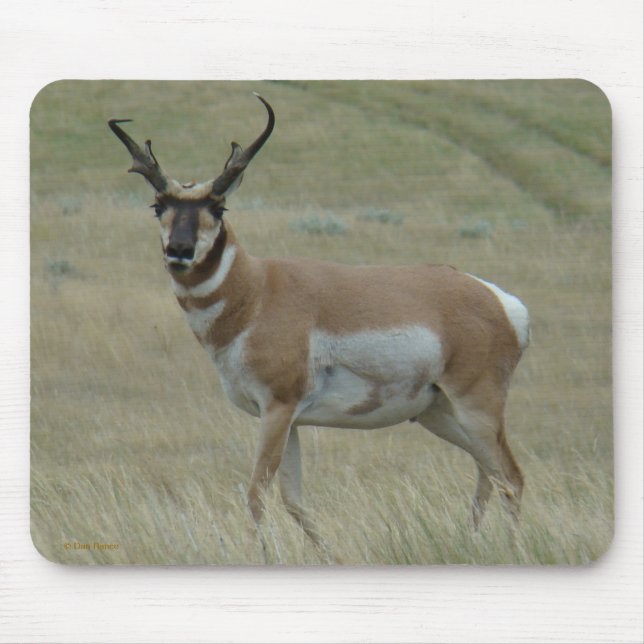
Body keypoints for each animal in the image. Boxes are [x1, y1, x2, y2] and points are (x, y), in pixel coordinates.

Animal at [108, 93, 529, 558]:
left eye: (218, 207)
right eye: (158, 206)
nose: (180, 250)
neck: (257, 290)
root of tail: (499, 300)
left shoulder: (277, 408)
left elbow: (257, 493)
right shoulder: (289, 420)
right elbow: (292, 499)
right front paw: (329, 554)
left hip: (477, 406)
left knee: (511, 477)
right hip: (438, 413)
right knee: (488, 473)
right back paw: (471, 540)